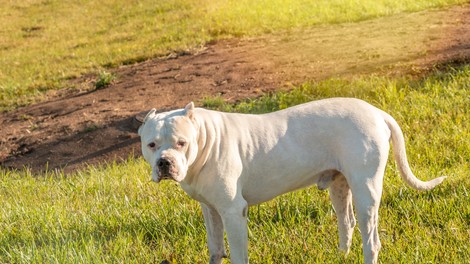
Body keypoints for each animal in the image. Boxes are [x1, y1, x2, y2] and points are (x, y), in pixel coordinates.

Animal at [138, 98, 446, 262]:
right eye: (151, 145)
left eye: (181, 143)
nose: (165, 163)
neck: (205, 138)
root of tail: (376, 112)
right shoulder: (210, 210)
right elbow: (215, 249)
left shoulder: (233, 212)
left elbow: (237, 253)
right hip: (339, 186)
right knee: (346, 222)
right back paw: (341, 255)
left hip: (365, 190)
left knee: (371, 239)